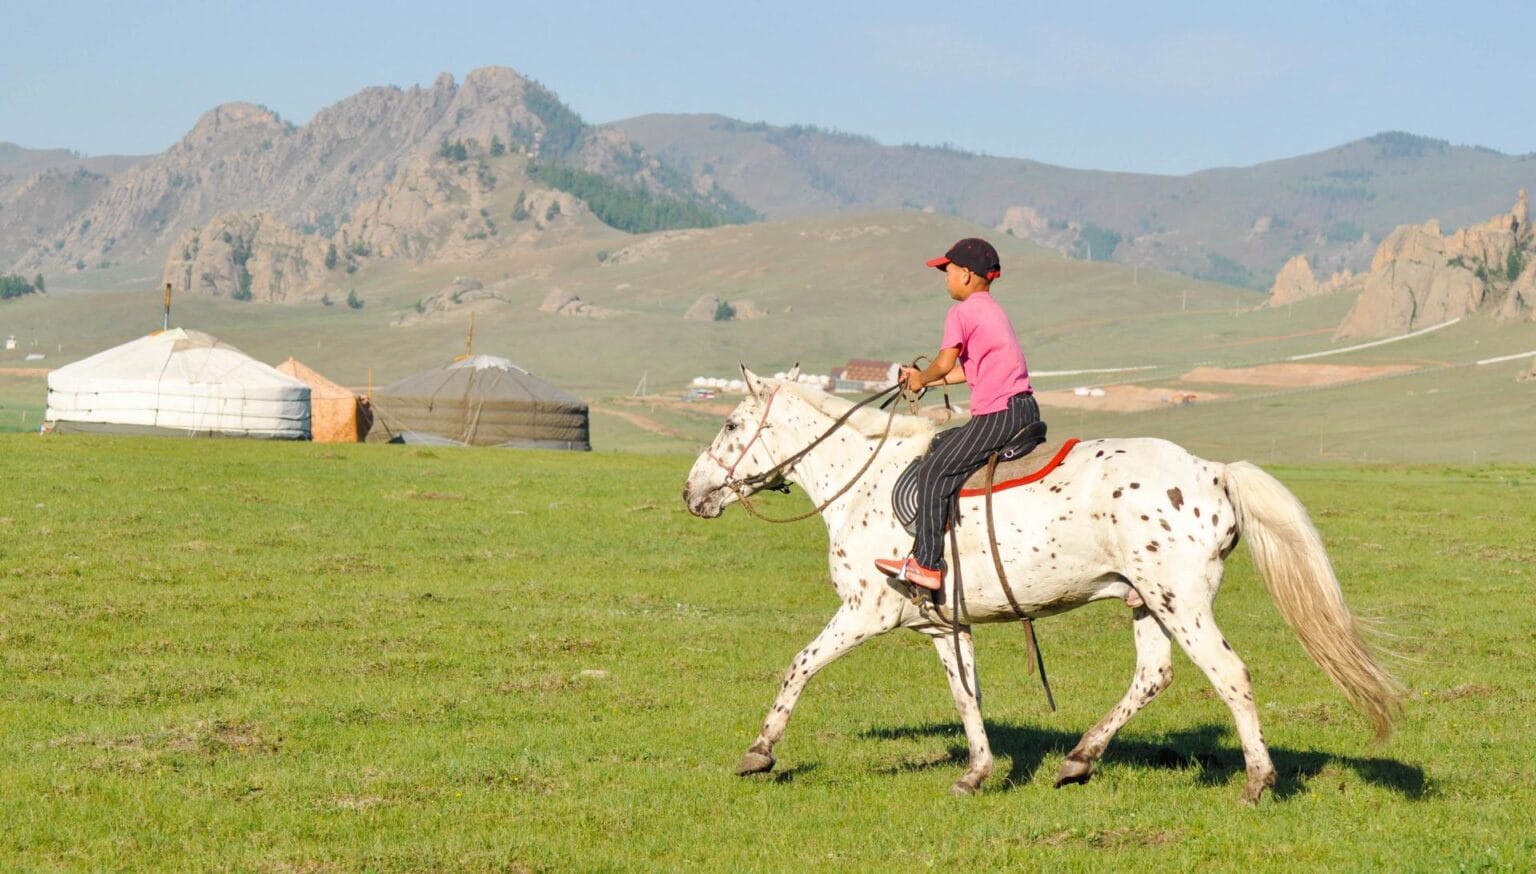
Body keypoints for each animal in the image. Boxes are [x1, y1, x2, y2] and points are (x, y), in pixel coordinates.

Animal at [682, 367, 1403, 803]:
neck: (862, 482)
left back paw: (1257, 781)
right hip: (1146, 602)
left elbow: (799, 665)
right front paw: (976, 774)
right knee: (1154, 676)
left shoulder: (865, 611)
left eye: (730, 425)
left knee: (1228, 673)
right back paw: (1079, 758)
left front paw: (759, 753)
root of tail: (1214, 473)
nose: (691, 494)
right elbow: (966, 697)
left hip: (1182, 602)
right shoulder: (942, 624)